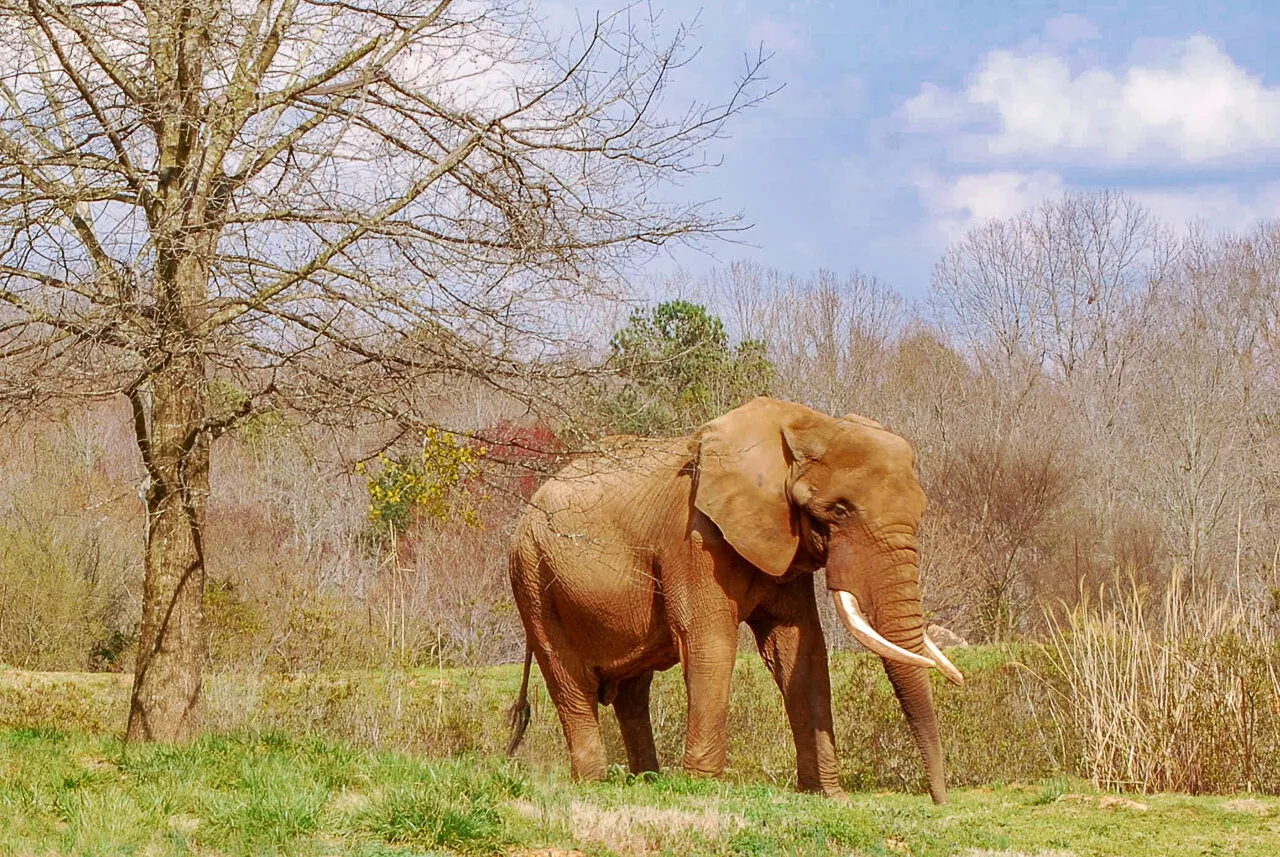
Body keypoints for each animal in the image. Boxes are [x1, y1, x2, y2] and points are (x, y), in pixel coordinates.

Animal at [505, 396, 963, 803]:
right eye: (839, 510)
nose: (939, 801)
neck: (805, 425)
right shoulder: (693, 537)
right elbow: (711, 644)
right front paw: (702, 789)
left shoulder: (781, 542)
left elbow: (801, 652)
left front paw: (828, 796)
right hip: (532, 577)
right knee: (571, 683)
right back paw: (596, 784)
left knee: (633, 691)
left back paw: (647, 783)